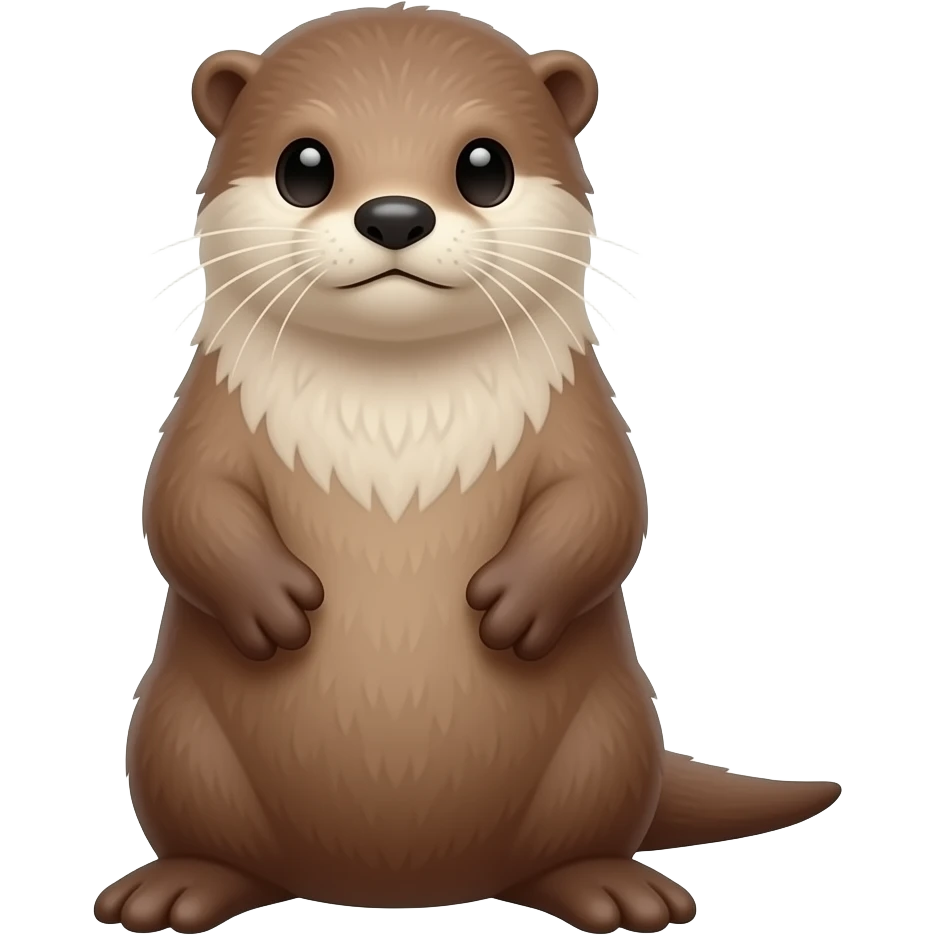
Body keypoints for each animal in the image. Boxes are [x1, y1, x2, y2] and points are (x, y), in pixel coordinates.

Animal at [98, 5, 841, 933]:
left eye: (485, 166)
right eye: (303, 166)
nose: (392, 214)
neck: (395, 416)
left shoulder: (578, 412)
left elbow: (606, 500)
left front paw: (515, 602)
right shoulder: (210, 411)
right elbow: (182, 499)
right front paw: (271, 601)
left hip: (607, 742)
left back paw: (613, 887)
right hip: (172, 741)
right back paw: (178, 886)